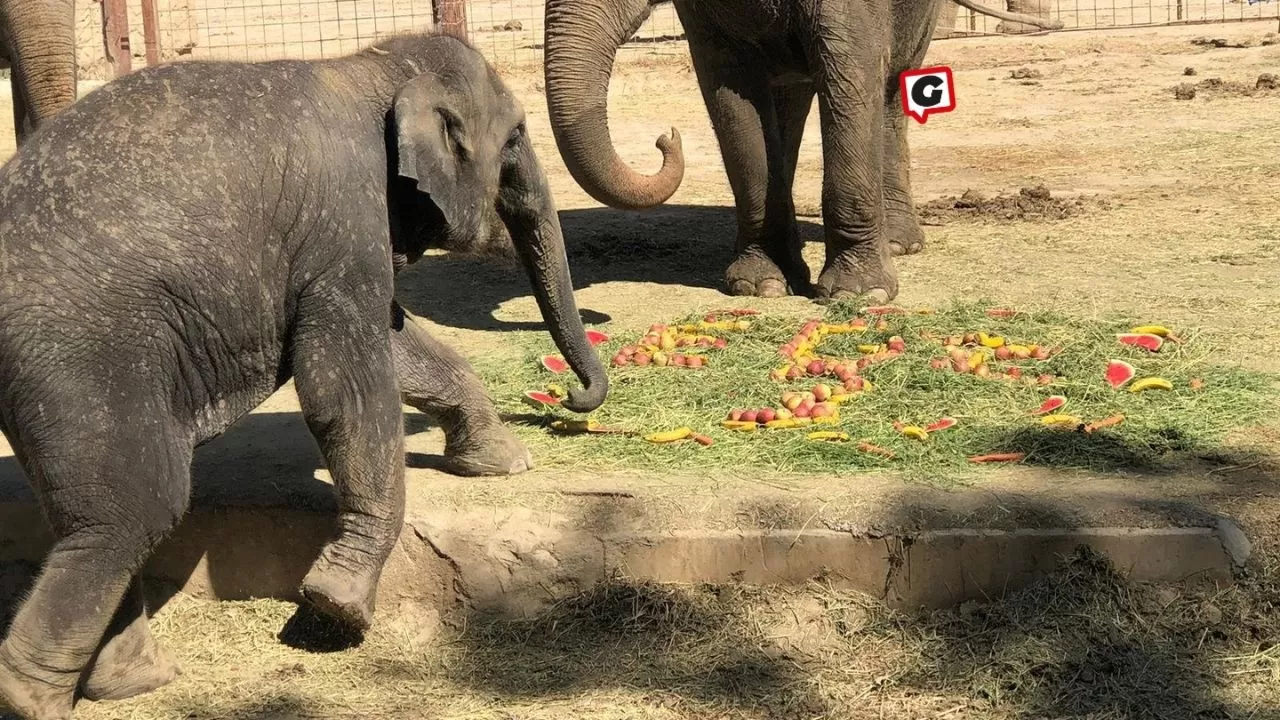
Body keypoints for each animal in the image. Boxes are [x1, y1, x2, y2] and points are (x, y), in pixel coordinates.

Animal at [550, 0, 1059, 298]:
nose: (665, 137)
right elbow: (731, 89)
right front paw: (760, 286)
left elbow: (852, 68)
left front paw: (859, 296)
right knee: (788, 99)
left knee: (893, 86)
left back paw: (900, 243)